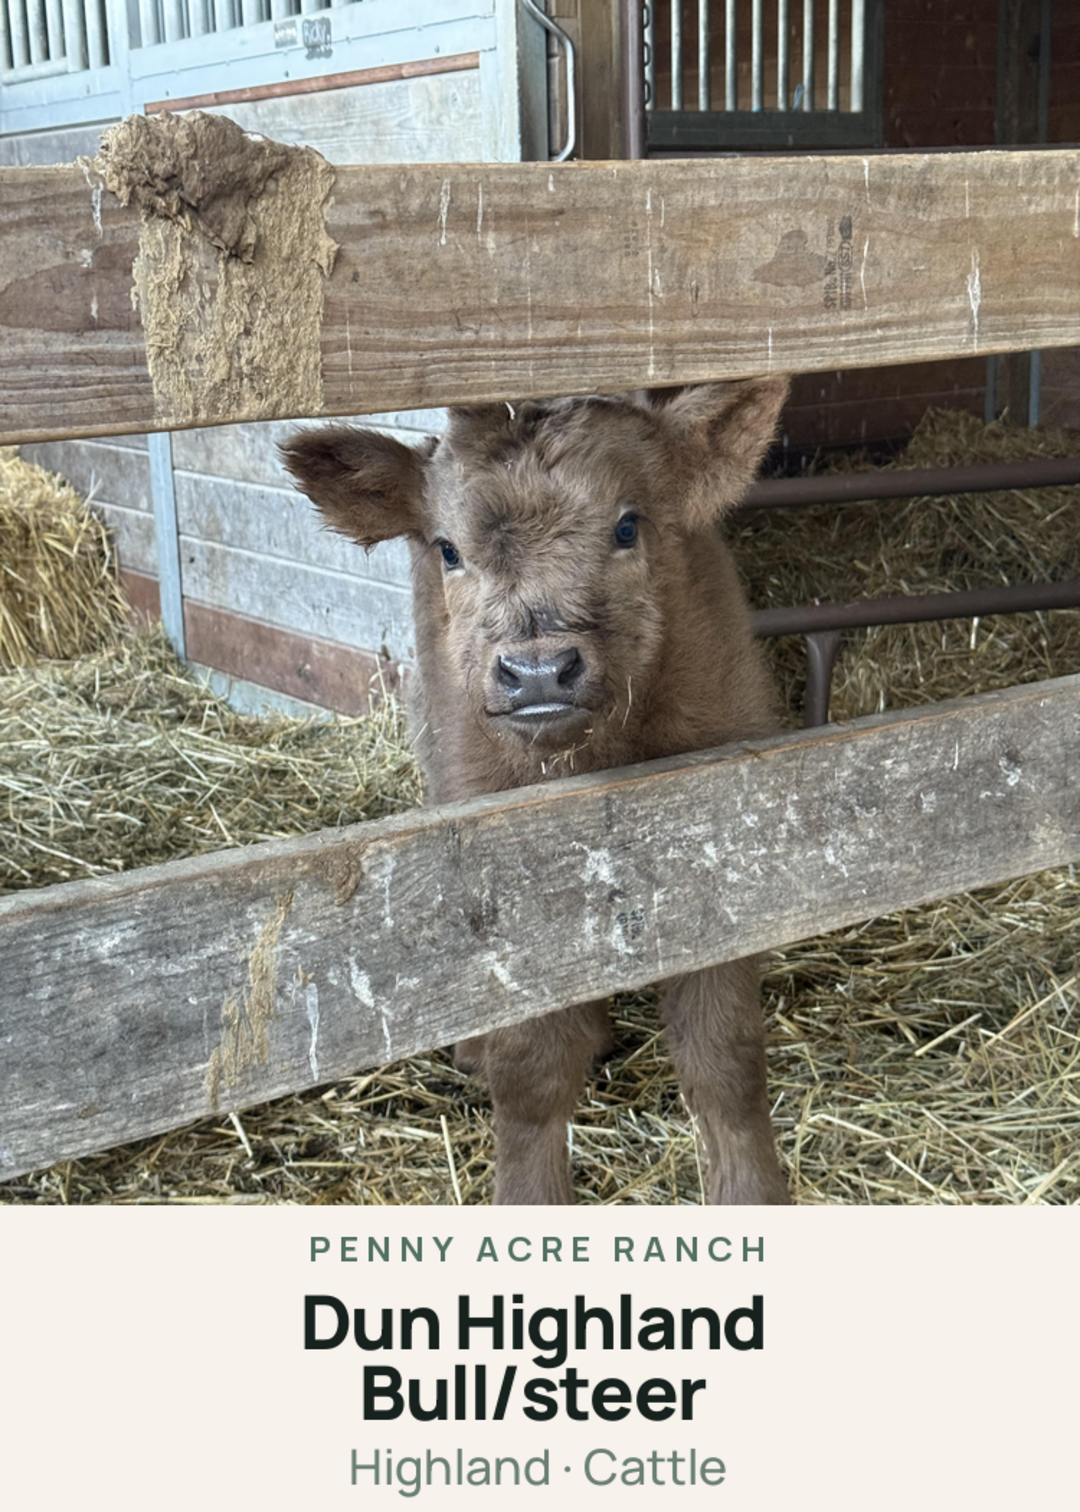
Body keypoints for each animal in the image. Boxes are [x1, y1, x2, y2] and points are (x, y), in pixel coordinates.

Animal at [282, 377, 791, 1204]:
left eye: (627, 526)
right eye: (449, 548)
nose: (539, 670)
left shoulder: (729, 852)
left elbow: (725, 1058)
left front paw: (753, 1194)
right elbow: (530, 1075)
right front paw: (530, 1197)